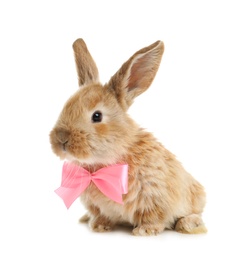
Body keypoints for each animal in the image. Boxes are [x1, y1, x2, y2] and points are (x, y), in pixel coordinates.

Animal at [49, 38, 206, 236]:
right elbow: (101, 215)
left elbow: (154, 216)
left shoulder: (154, 194)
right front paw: (98, 226)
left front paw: (145, 231)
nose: (61, 138)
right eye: (65, 106)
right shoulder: (96, 206)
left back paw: (187, 224)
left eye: (97, 116)